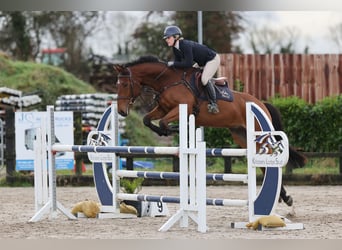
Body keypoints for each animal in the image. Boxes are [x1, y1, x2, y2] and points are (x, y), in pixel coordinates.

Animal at [114, 55, 308, 206]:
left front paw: (173, 130)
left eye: (125, 84)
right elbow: (148, 120)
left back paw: (283, 197)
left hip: (259, 134)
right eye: (118, 84)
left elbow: (162, 122)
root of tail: (261, 104)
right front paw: (166, 131)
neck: (167, 81)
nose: (121, 111)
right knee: (262, 164)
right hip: (242, 136)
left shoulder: (181, 108)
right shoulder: (162, 108)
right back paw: (283, 197)